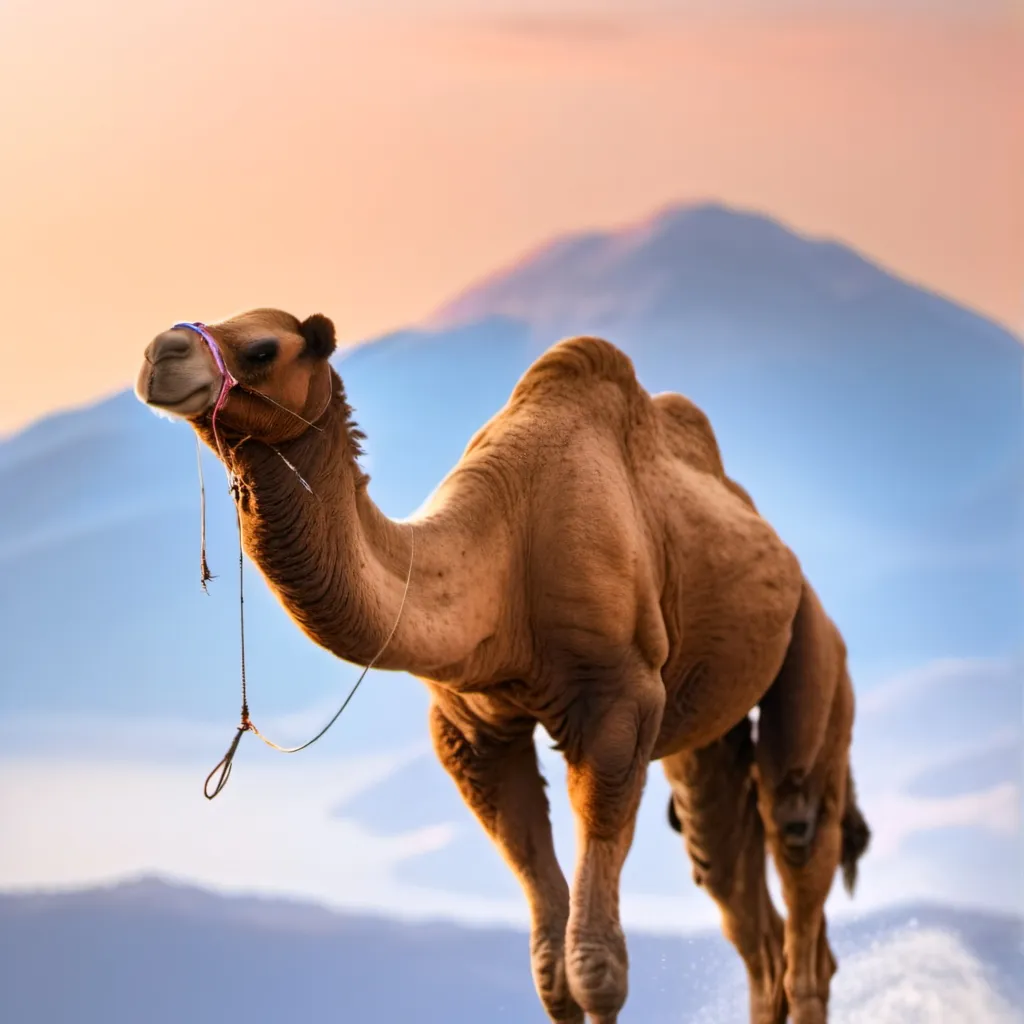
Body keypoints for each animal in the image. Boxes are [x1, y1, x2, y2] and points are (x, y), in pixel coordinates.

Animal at [135, 309, 870, 1024]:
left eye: (262, 349)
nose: (157, 353)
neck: (504, 552)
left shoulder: (619, 706)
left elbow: (595, 966)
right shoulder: (473, 728)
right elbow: (552, 973)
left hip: (815, 650)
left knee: (797, 834)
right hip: (708, 726)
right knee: (730, 879)